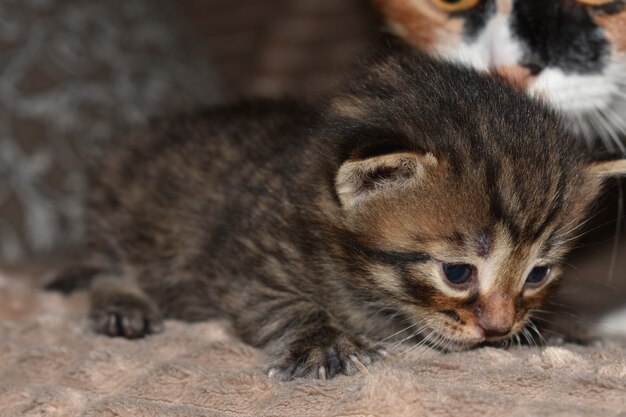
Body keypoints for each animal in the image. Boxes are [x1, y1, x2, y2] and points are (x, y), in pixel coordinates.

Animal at [50, 44, 624, 378]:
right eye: (457, 273)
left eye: (538, 274)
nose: (499, 330)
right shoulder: (246, 263)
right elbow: (282, 305)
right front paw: (323, 341)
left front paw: (554, 325)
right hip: (122, 213)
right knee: (107, 265)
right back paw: (123, 302)